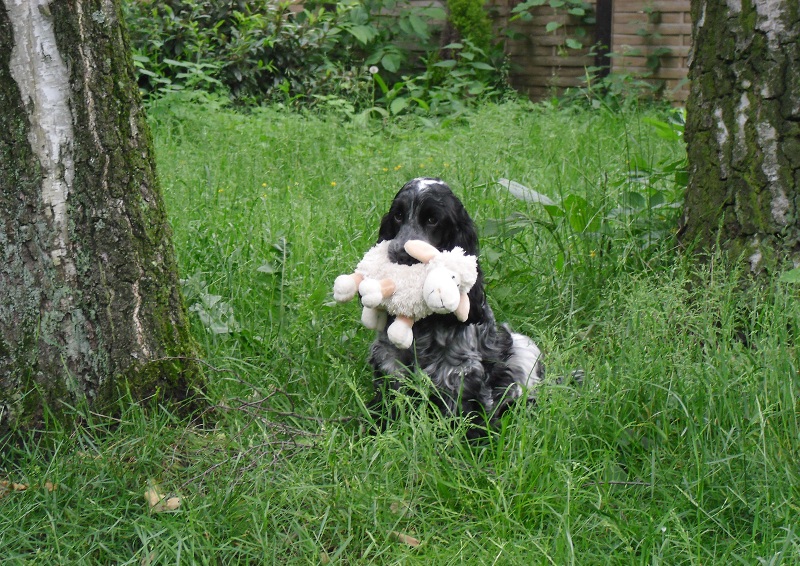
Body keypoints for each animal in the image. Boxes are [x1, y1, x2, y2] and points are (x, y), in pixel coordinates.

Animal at [368, 180, 544, 438]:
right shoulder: (390, 358)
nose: (400, 253)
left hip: (523, 348)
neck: (424, 323)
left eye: (433, 220)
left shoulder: (460, 371)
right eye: (398, 215)